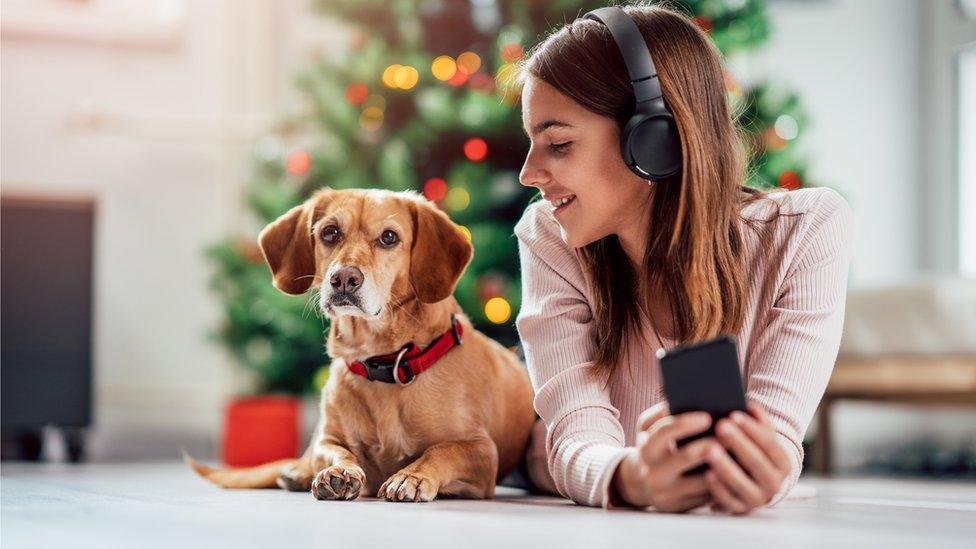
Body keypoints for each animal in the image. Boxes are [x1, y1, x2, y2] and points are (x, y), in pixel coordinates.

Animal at [183, 188, 532, 500]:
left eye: (389, 237)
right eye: (330, 232)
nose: (344, 279)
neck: (384, 360)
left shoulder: (482, 451)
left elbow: (442, 451)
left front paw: (411, 476)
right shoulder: (328, 439)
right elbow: (335, 452)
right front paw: (337, 472)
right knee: (306, 456)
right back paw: (297, 472)